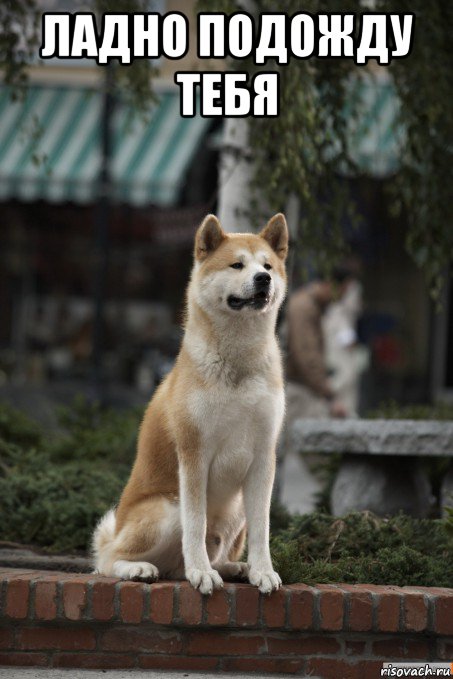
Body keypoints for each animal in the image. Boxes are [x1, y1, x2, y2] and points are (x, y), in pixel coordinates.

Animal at [93, 212, 288, 596]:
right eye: (237, 264)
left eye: (268, 266)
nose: (263, 279)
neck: (237, 364)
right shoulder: (194, 454)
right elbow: (195, 526)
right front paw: (201, 573)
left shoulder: (263, 457)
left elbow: (263, 530)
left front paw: (263, 571)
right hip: (167, 508)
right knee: (107, 560)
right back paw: (142, 568)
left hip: (236, 509)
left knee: (203, 558)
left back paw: (235, 568)